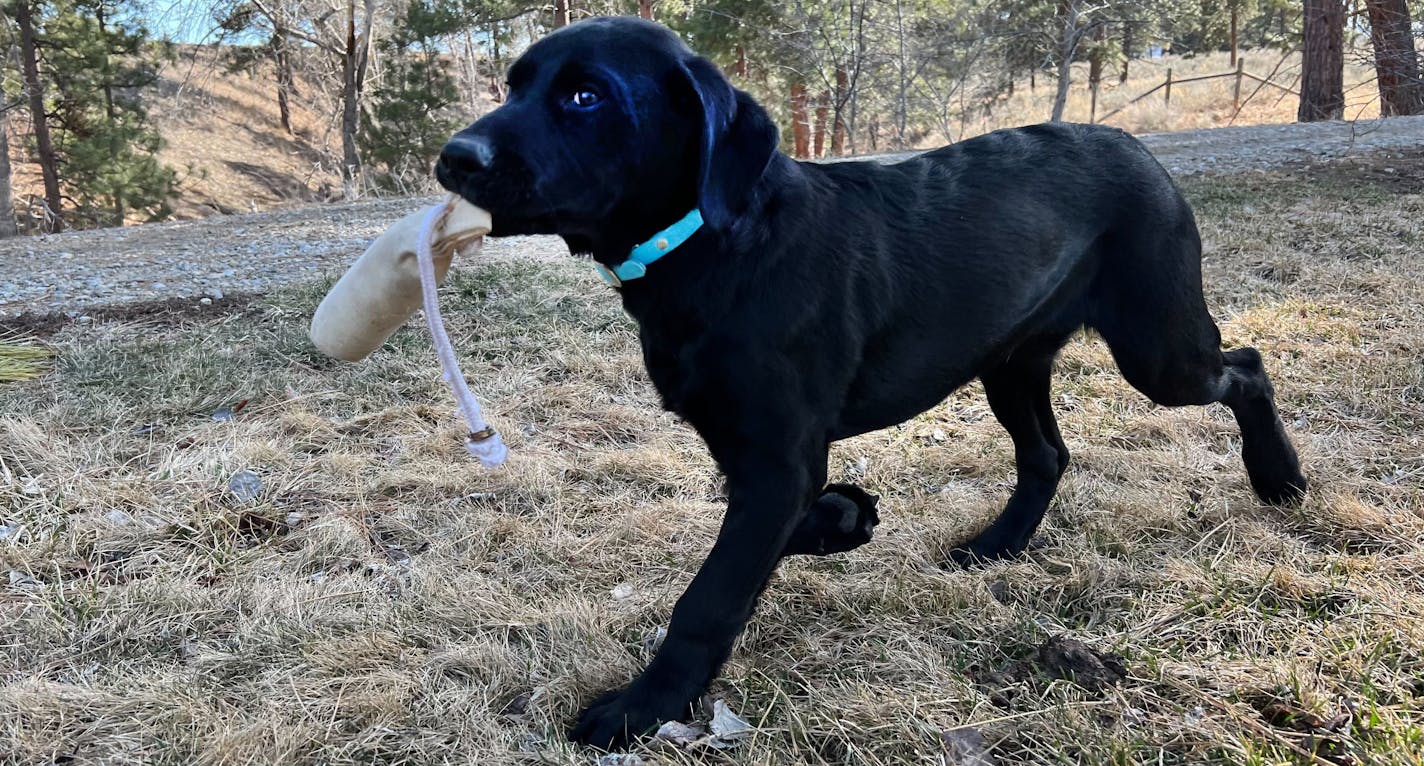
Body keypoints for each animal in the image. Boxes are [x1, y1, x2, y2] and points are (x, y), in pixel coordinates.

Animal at [430, 16, 1304, 746]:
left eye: (586, 95)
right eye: (513, 85)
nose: (453, 158)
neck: (716, 247)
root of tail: (1137, 145)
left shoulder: (777, 461)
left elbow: (708, 597)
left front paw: (639, 709)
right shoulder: (754, 458)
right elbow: (766, 543)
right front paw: (845, 519)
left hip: (1159, 350)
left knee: (1248, 366)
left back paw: (1281, 477)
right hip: (1011, 362)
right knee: (1047, 454)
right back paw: (998, 544)